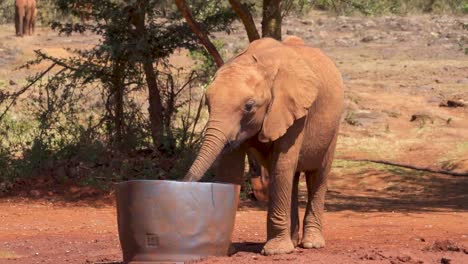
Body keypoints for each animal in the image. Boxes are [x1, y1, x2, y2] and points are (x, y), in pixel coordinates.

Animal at [184, 36, 344, 255]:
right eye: (207, 103)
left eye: (249, 106)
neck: (262, 65)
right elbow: (231, 169)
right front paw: (227, 251)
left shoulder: (294, 110)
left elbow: (282, 165)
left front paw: (276, 252)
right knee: (292, 178)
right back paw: (293, 242)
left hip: (333, 126)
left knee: (316, 175)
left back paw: (311, 244)